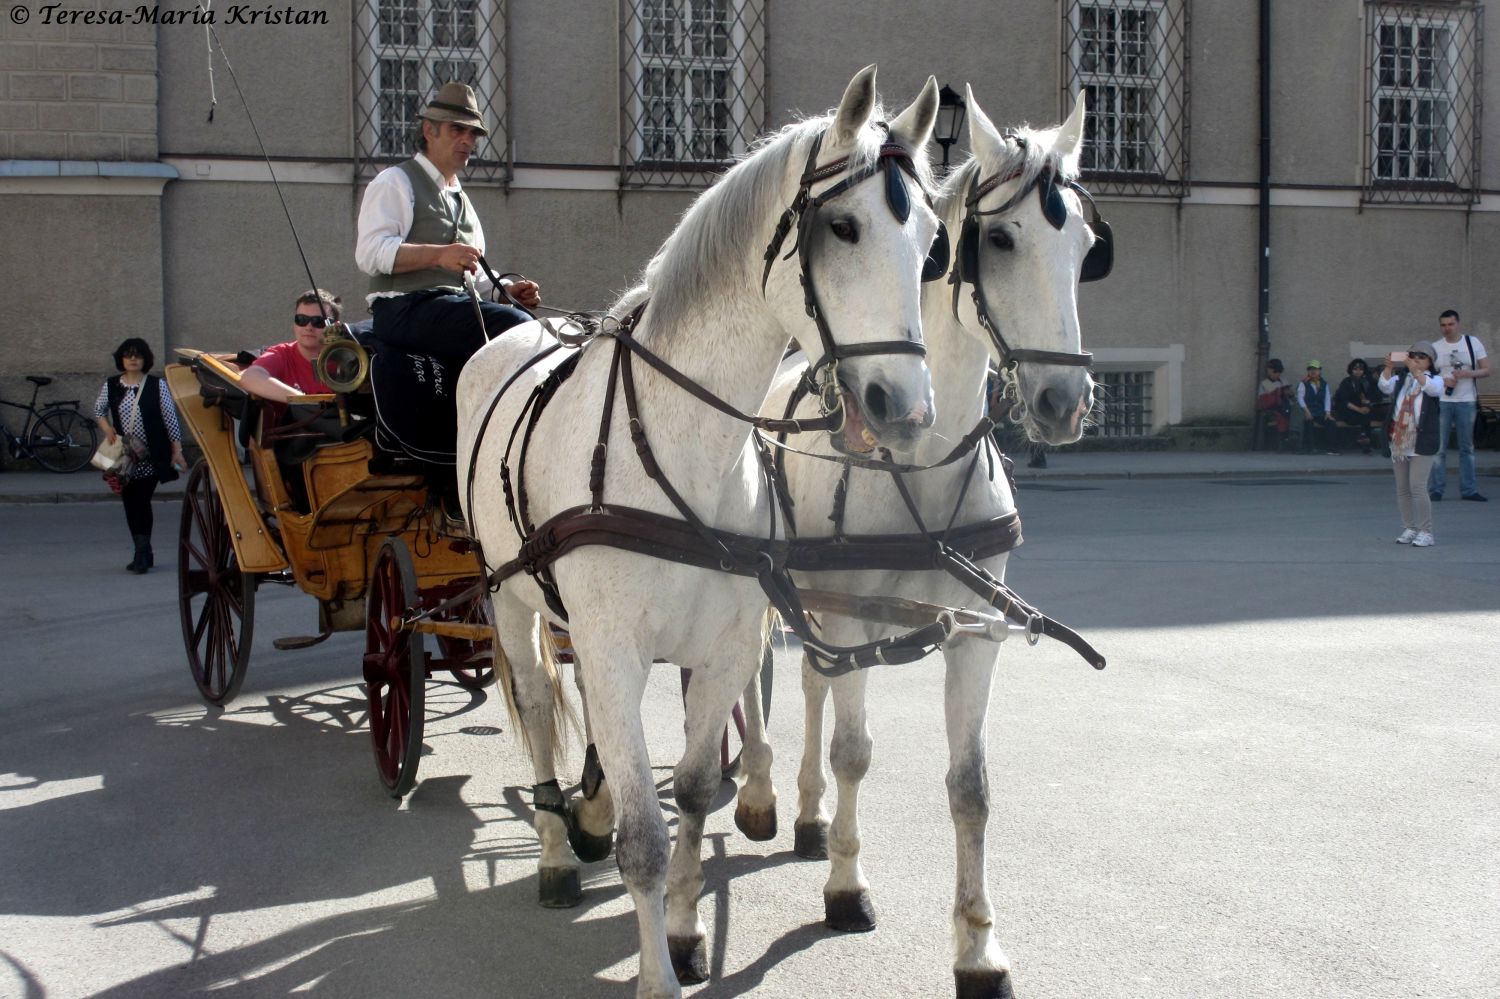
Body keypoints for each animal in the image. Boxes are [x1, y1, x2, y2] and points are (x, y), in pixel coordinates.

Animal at [462, 66, 942, 990]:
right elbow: (644, 840)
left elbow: (686, 790)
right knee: (538, 706)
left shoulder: (721, 646)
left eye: (933, 239)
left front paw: (682, 931)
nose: (905, 410)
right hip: (512, 599)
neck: (683, 443)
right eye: (844, 226)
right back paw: (555, 853)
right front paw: (657, 972)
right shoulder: (614, 646)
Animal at [735, 91, 1104, 996]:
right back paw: (763, 794)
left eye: (1084, 246)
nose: (1063, 401)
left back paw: (807, 813)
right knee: (759, 681)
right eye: (999, 241)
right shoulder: (856, 614)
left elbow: (969, 786)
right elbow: (856, 752)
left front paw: (978, 946)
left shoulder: (974, 632)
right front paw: (846, 886)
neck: (923, 462)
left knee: (811, 680)